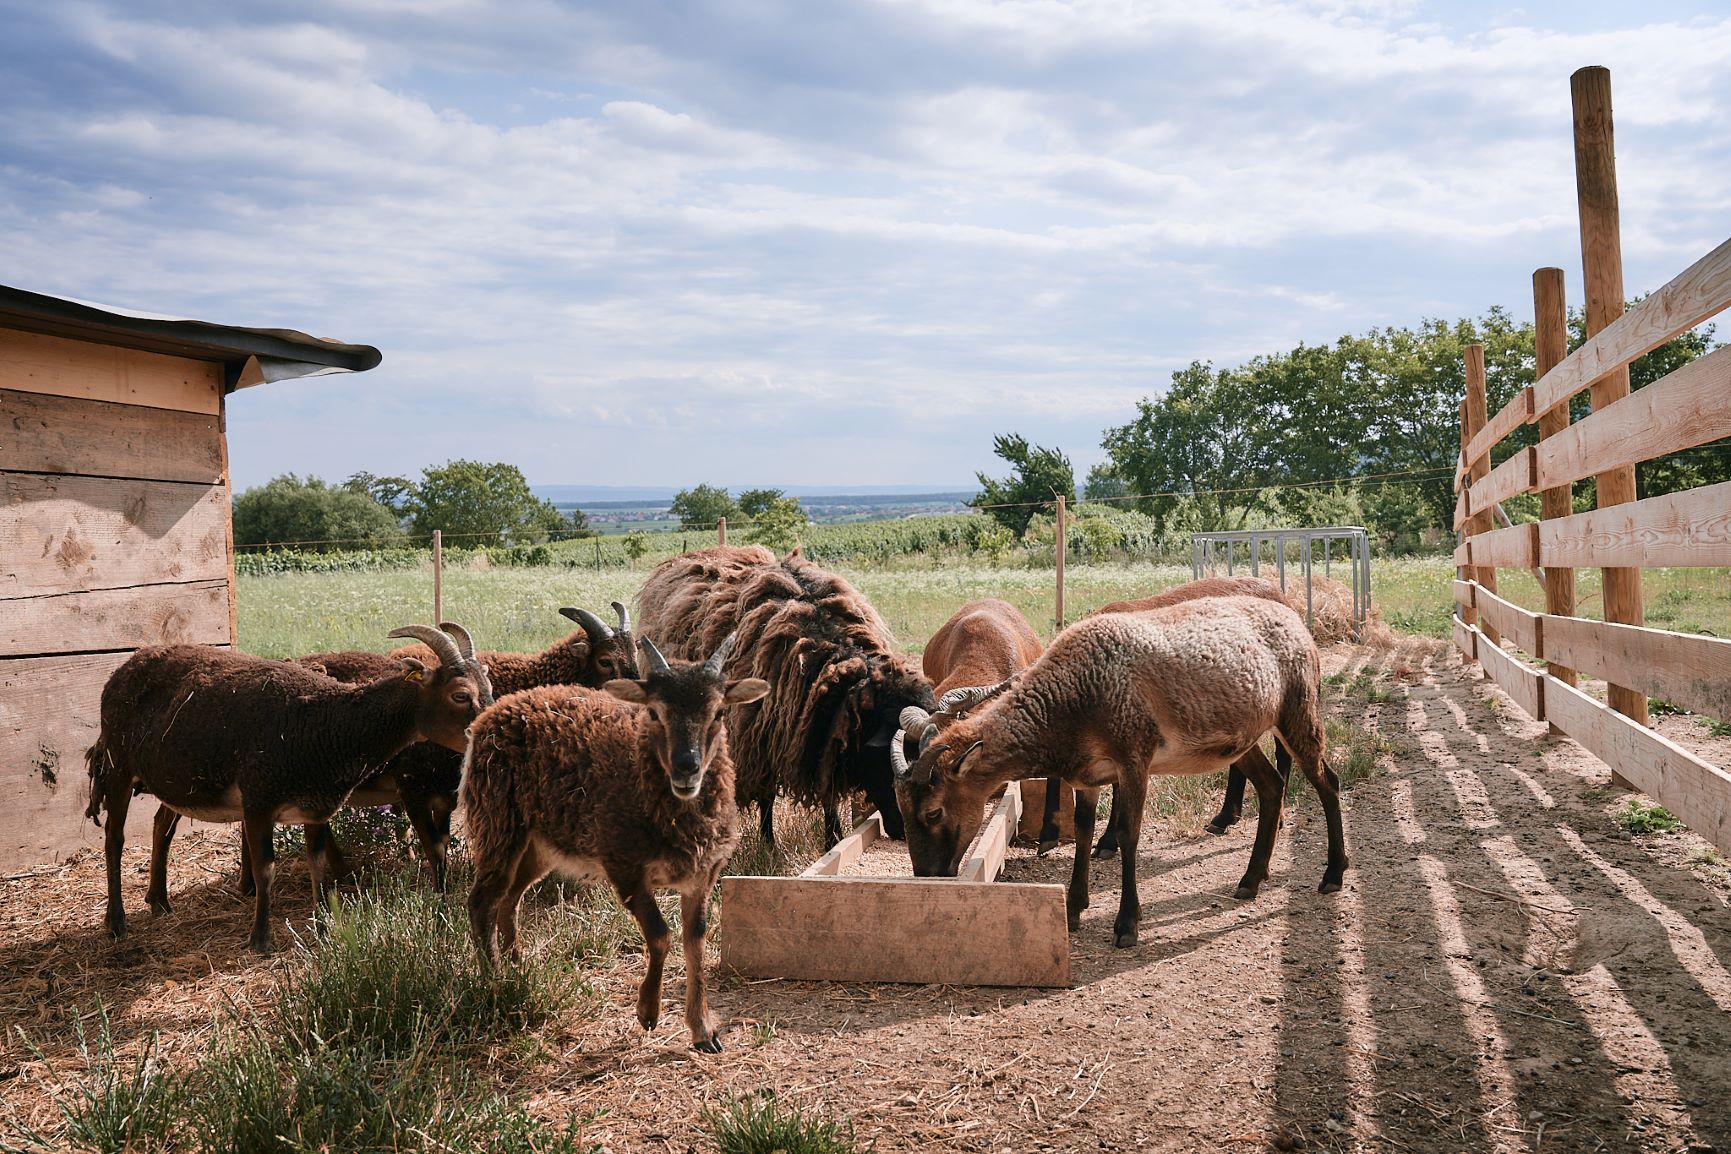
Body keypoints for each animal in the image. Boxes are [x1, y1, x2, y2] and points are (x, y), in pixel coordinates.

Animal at [85, 625, 488, 953]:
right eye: (460, 695)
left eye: (487, 688)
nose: (485, 727)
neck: (326, 725)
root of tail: (123, 669)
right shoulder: (259, 802)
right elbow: (266, 868)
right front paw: (260, 939)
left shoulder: (317, 805)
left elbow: (317, 862)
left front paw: (323, 925)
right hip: (119, 768)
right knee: (115, 838)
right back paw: (117, 922)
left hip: (174, 782)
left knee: (160, 826)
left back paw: (159, 901)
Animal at [464, 634, 769, 1052]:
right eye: (654, 712)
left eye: (720, 711)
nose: (686, 767)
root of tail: (494, 711)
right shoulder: (624, 865)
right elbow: (660, 934)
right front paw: (648, 1012)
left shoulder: (703, 876)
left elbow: (697, 940)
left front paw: (704, 1031)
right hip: (497, 822)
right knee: (483, 901)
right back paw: (495, 980)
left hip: (540, 843)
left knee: (509, 898)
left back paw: (517, 963)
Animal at [634, 546, 934, 846]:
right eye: (889, 763)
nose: (903, 833)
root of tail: (696, 554)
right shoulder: (756, 737)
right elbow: (766, 795)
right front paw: (768, 843)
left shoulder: (822, 735)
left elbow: (829, 793)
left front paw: (832, 838)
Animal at [892, 596, 1348, 948]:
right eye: (902, 808)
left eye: (933, 811)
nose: (927, 875)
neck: (1075, 696)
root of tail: (1296, 622)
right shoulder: (1090, 775)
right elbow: (1083, 829)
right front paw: (1074, 908)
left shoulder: (1134, 760)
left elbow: (1129, 833)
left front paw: (1127, 924)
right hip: (1245, 740)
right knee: (1272, 786)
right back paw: (1250, 880)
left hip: (1297, 710)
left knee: (1328, 782)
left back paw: (1332, 874)